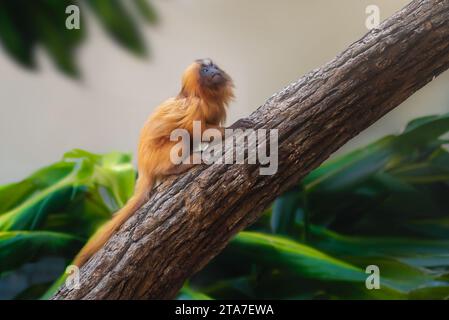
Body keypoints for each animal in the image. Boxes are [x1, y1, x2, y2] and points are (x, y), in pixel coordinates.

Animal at [72, 58, 234, 266]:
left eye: (213, 66)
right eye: (205, 70)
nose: (214, 70)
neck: (204, 96)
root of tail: (144, 169)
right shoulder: (195, 107)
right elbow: (197, 130)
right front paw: (232, 128)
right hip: (160, 156)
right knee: (181, 137)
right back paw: (176, 168)